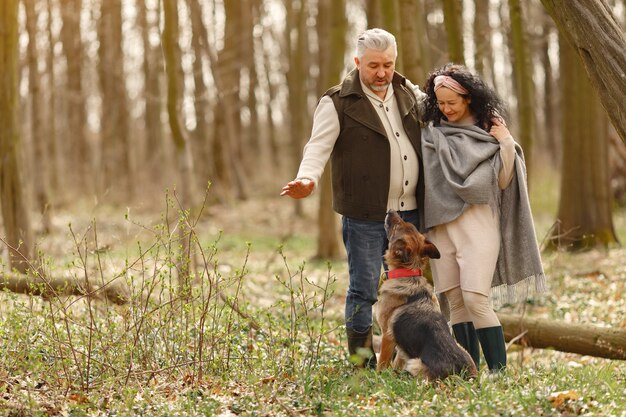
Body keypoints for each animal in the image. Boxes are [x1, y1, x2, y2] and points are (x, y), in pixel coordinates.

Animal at [372, 211, 476, 380]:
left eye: (397, 226)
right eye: (410, 225)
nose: (391, 211)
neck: (409, 274)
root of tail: (462, 375)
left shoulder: (387, 336)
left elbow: (382, 364)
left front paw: (379, 379)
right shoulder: (402, 345)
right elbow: (397, 363)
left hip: (416, 363)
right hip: (461, 349)